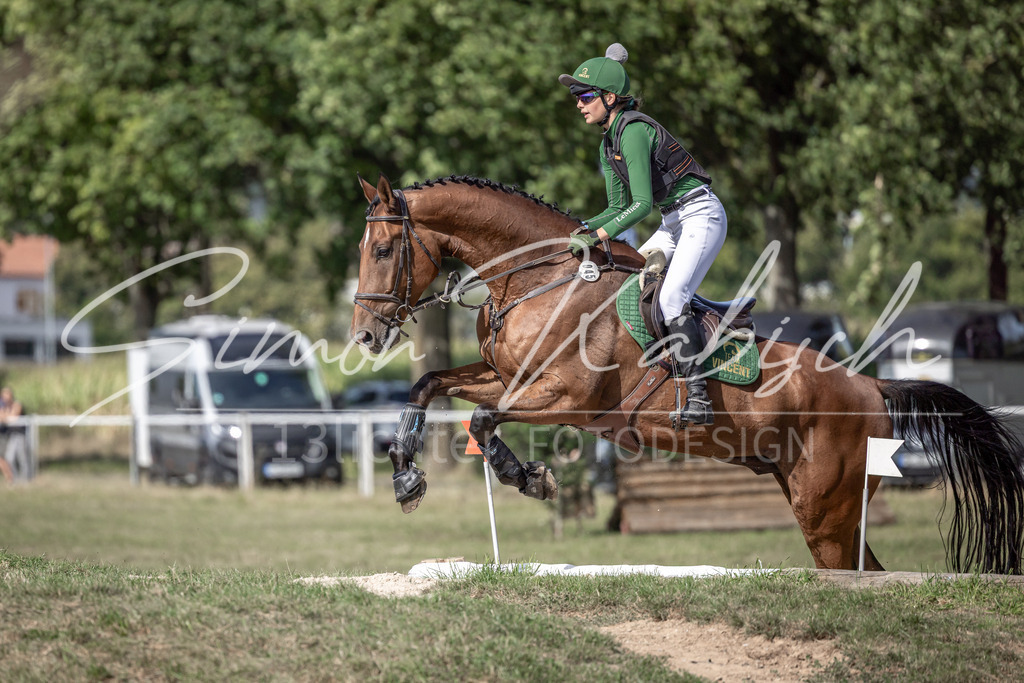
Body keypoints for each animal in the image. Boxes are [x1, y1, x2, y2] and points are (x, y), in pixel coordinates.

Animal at [350, 173, 1024, 574]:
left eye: (383, 251)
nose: (365, 336)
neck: (540, 279)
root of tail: (873, 386)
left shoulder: (567, 397)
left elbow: (485, 418)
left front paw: (531, 478)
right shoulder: (508, 375)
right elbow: (431, 386)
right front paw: (406, 476)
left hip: (826, 511)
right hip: (821, 504)